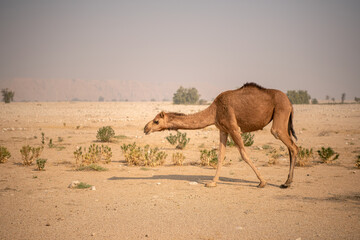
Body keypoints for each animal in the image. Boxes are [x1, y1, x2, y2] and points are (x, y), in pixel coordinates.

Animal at [143, 83, 298, 188]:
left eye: (156, 121)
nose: (145, 128)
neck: (214, 110)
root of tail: (290, 102)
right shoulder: (223, 130)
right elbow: (221, 155)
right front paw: (212, 182)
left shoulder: (234, 128)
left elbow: (244, 154)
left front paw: (262, 182)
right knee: (291, 147)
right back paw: (287, 182)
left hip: (281, 113)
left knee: (291, 145)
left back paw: (287, 183)